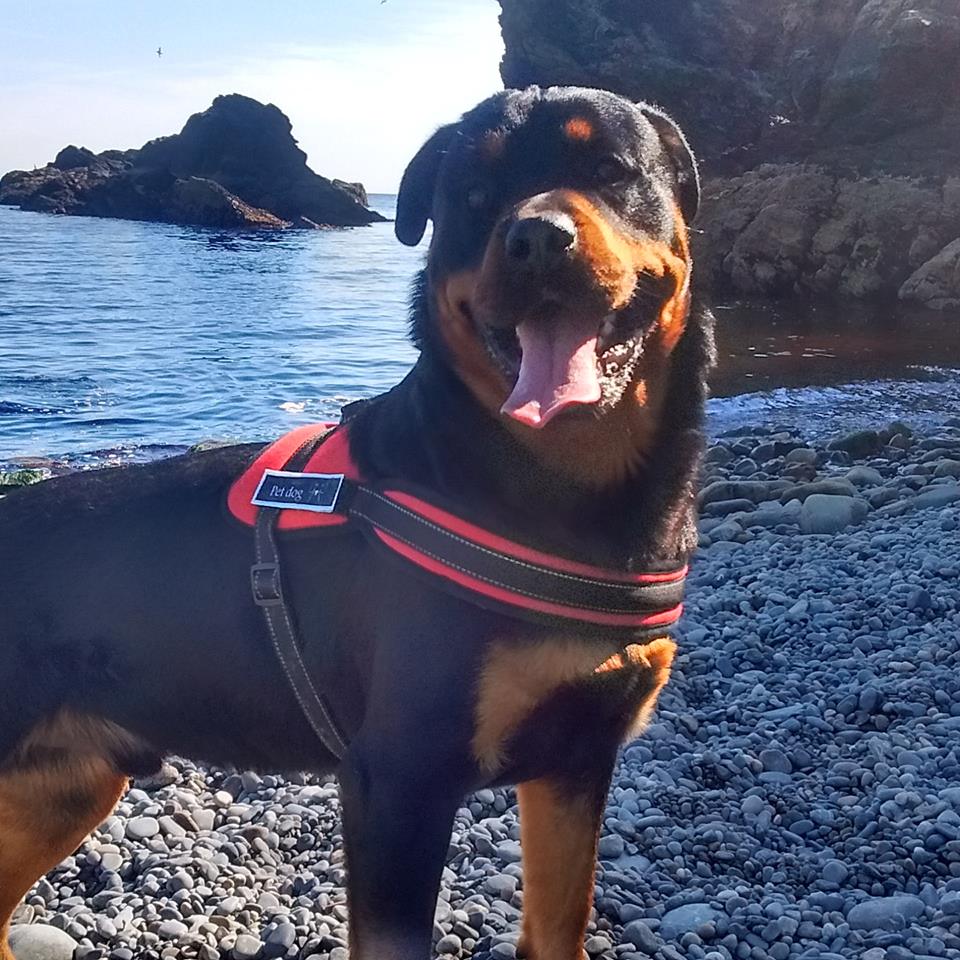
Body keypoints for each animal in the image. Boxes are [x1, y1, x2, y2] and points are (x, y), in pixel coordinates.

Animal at [0, 84, 708, 960]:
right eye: (473, 196)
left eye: (611, 170)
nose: (537, 238)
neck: (560, 489)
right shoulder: (399, 778)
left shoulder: (576, 760)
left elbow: (557, 929)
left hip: (60, 786)